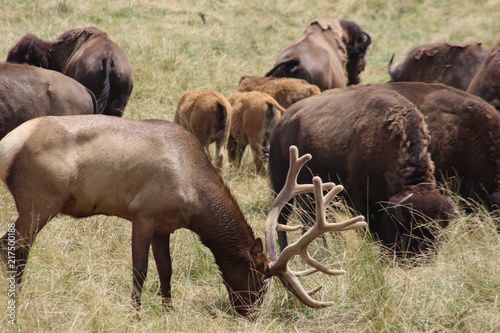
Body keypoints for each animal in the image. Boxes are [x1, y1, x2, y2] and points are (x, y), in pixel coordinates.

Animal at [0, 115, 368, 316]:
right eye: (260, 278)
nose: (250, 313)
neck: (194, 201)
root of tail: (9, 143)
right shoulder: (143, 213)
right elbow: (140, 270)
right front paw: (135, 315)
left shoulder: (164, 225)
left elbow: (166, 270)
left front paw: (167, 311)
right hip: (39, 200)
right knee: (15, 247)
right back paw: (17, 299)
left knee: (6, 243)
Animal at [270, 83, 458, 254]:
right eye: (407, 232)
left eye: (439, 236)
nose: (422, 260)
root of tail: (284, 120)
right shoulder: (362, 201)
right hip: (282, 184)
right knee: (282, 217)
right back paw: (284, 250)